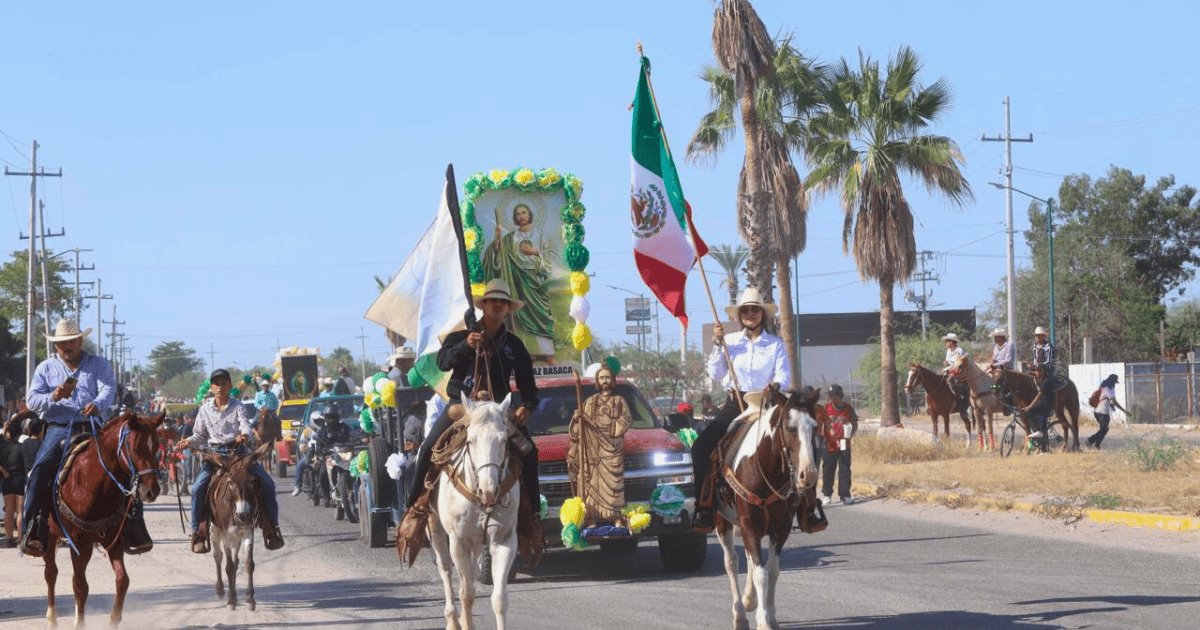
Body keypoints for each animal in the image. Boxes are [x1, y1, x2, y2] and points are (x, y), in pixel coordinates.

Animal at [204, 436, 274, 609]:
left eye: (253, 482)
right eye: (230, 482)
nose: (243, 514)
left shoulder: (248, 530)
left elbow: (248, 564)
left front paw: (250, 599)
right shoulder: (225, 533)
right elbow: (228, 566)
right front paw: (231, 601)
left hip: (236, 535)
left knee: (236, 562)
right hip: (215, 530)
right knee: (218, 556)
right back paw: (221, 590)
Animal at [427, 393, 520, 628]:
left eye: (504, 441)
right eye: (470, 441)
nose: (489, 491)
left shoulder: (504, 540)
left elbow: (499, 599)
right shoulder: (458, 541)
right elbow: (466, 594)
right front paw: (464, 622)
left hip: (477, 541)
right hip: (436, 530)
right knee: (446, 570)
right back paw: (452, 619)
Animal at [710, 388, 825, 628]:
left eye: (814, 427)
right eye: (789, 427)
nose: (808, 475)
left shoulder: (780, 528)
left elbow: (772, 571)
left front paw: (771, 616)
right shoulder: (750, 526)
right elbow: (760, 573)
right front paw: (762, 621)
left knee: (748, 560)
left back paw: (749, 600)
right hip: (722, 521)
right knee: (731, 562)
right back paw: (740, 614)